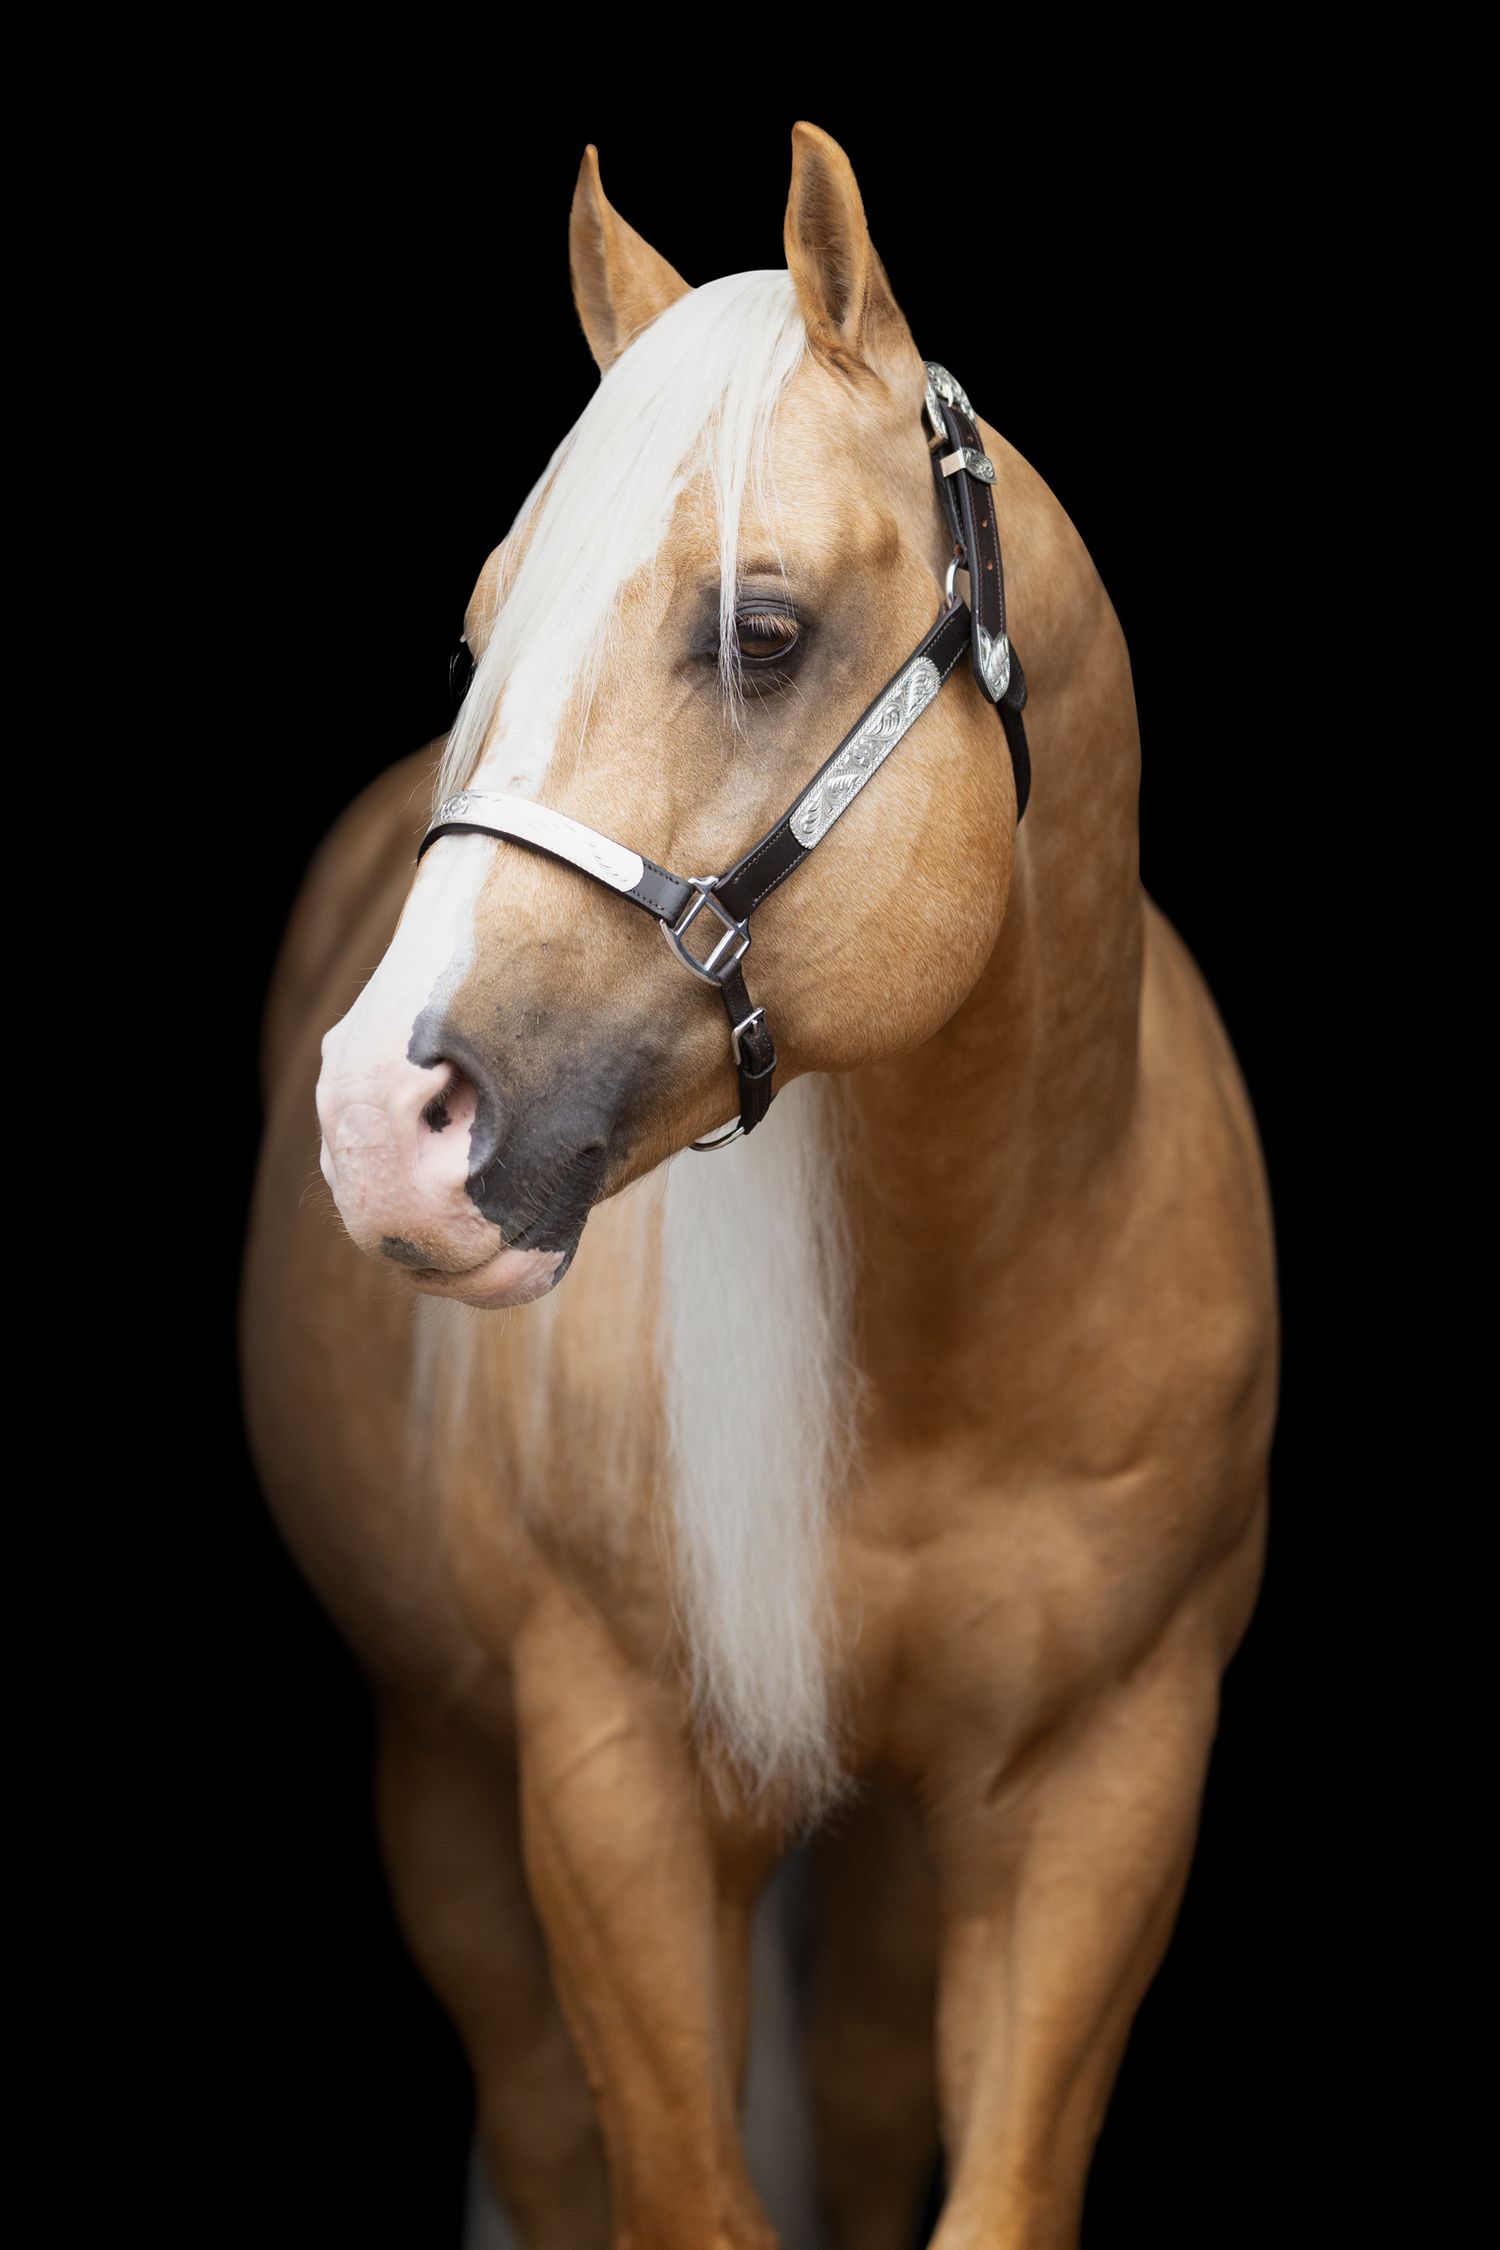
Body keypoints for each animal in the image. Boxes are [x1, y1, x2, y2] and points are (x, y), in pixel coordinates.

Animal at [240, 120, 1279, 2250]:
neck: (963, 1332)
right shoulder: (613, 1789)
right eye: (485, 634)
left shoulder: (1107, 1785)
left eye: (763, 630)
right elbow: (672, 2189)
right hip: (444, 1779)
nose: (384, 1119)